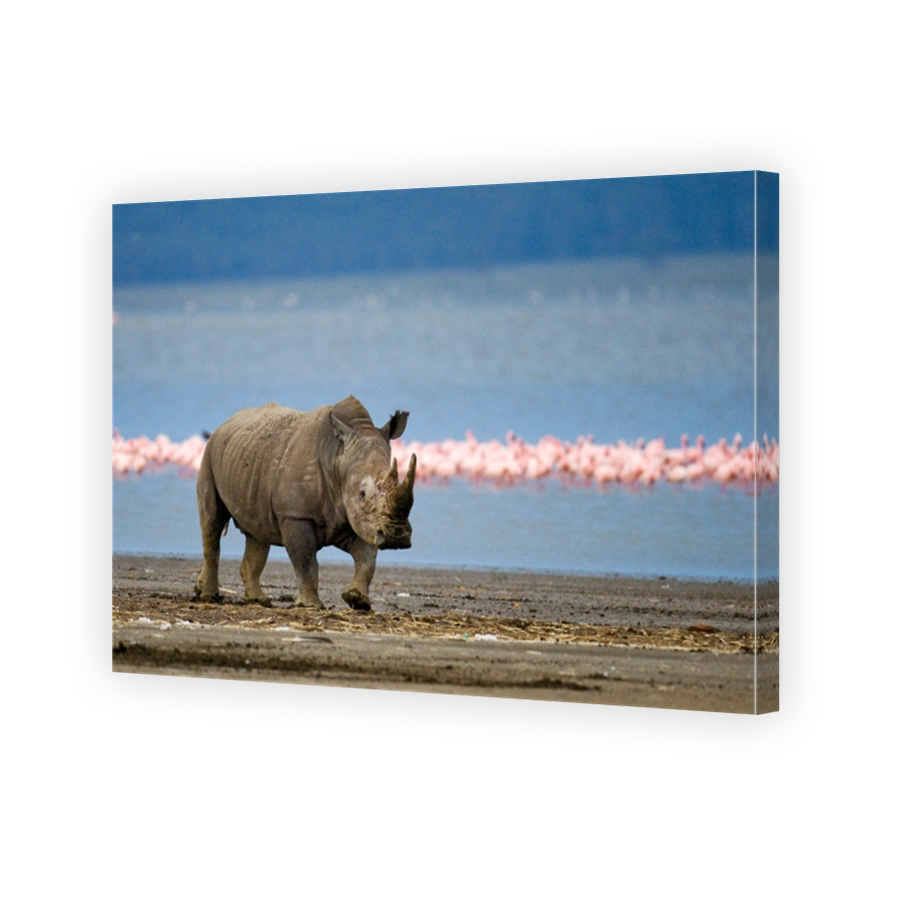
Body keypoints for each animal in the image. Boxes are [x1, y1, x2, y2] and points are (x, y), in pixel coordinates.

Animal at [195, 396, 416, 610]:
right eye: (362, 494)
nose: (396, 537)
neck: (337, 457)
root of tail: (225, 423)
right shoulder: (295, 515)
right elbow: (306, 561)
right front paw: (310, 605)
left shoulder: (362, 519)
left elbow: (367, 558)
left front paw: (357, 600)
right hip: (209, 454)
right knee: (212, 522)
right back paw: (208, 596)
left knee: (257, 532)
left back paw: (257, 600)